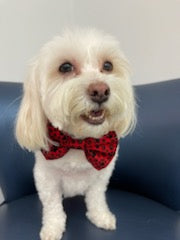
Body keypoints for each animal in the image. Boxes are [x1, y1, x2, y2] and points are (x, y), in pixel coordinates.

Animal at [15, 28, 136, 240]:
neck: (80, 142)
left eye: (108, 65)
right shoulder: (46, 178)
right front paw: (53, 228)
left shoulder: (101, 175)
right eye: (65, 67)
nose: (100, 90)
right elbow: (53, 207)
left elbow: (96, 198)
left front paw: (101, 216)